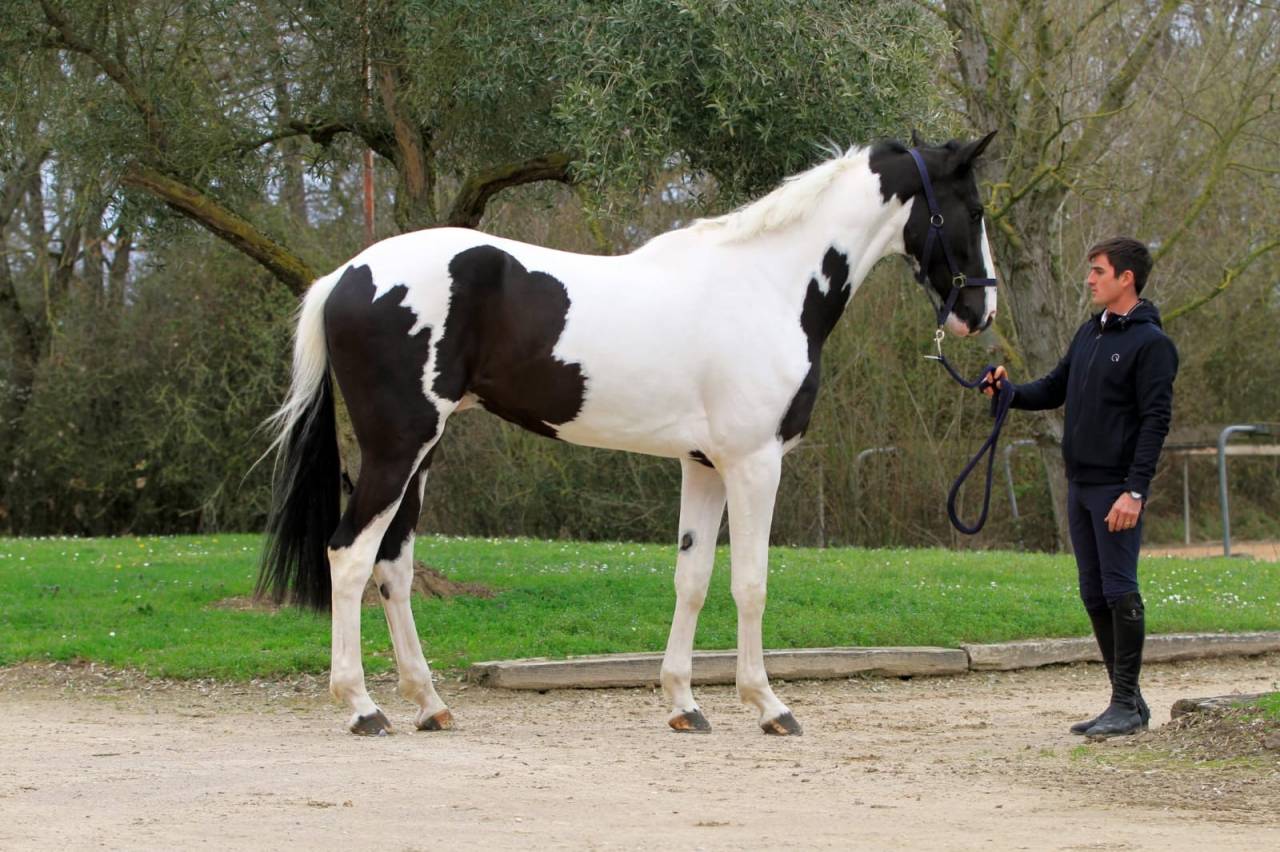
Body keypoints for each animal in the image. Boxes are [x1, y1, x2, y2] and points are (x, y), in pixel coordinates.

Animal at [258, 133, 1000, 736]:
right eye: (973, 210)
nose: (980, 310)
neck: (768, 284)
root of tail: (343, 278)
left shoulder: (704, 466)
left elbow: (692, 579)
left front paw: (684, 704)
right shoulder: (755, 464)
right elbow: (751, 583)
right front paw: (769, 706)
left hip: (422, 453)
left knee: (394, 565)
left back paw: (429, 704)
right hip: (398, 447)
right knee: (351, 555)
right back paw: (362, 708)